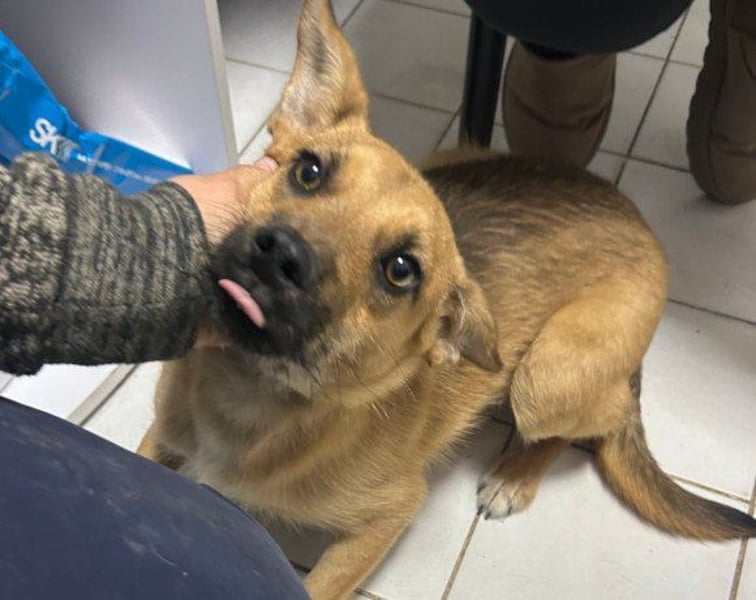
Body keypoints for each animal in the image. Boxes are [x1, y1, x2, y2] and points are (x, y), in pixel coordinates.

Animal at [138, 1, 756, 598]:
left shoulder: (387, 516)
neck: (255, 394)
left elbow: (321, 585)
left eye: (400, 270)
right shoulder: (156, 443)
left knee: (604, 416)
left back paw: (516, 473)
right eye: (308, 171)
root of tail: (641, 223)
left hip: (545, 375)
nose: (280, 255)